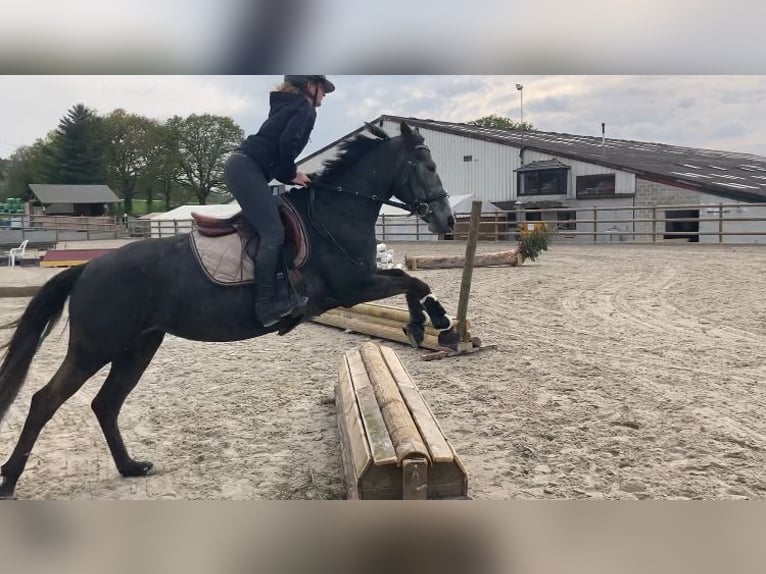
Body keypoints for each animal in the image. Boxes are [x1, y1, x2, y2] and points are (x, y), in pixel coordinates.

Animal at [0, 121, 456, 500]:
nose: (447, 222)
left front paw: (430, 323)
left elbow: (413, 280)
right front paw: (434, 325)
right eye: (429, 166)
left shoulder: (362, 281)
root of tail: (87, 268)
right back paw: (10, 481)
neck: (333, 213)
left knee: (106, 404)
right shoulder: (351, 287)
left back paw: (130, 467)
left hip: (139, 346)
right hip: (95, 347)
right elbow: (414, 282)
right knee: (45, 401)